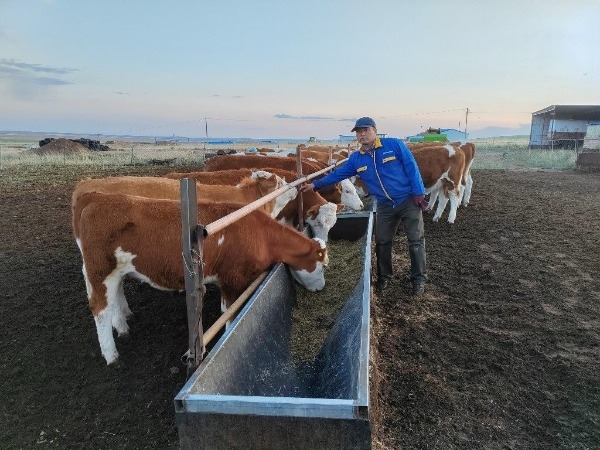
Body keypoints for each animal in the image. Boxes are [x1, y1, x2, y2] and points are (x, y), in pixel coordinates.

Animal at [73, 192, 329, 365]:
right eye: (321, 267)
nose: (323, 288)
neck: (262, 235)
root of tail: (96, 198)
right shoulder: (233, 280)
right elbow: (229, 314)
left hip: (116, 273)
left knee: (115, 297)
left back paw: (123, 327)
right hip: (100, 271)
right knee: (100, 309)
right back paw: (111, 355)